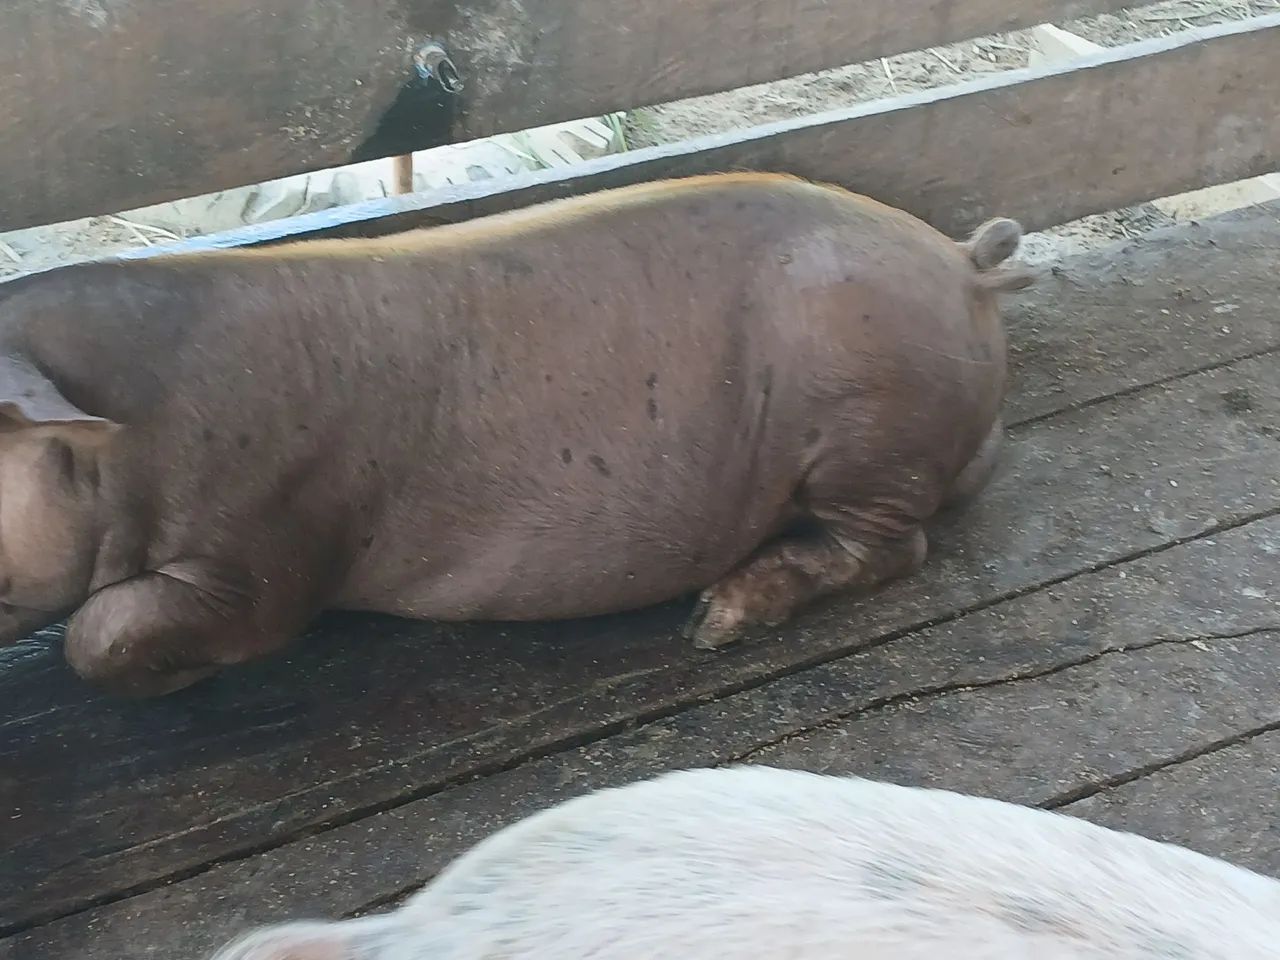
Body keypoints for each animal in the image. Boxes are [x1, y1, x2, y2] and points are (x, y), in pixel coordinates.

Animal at [0, 173, 1034, 696]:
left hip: (872, 426)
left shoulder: (273, 547)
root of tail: (964, 263)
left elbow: (101, 634)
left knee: (896, 548)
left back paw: (715, 623)